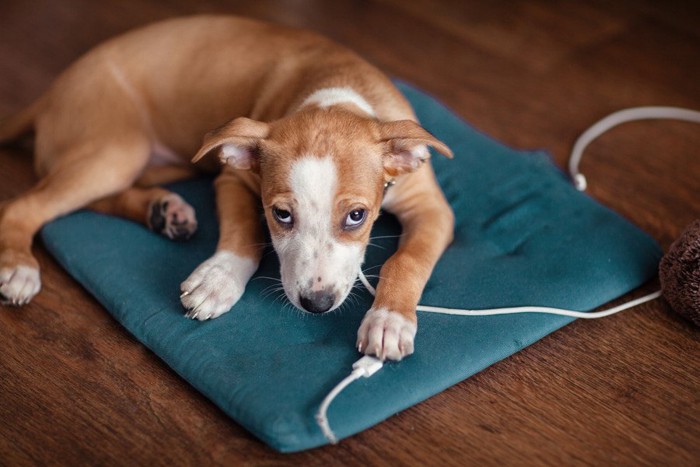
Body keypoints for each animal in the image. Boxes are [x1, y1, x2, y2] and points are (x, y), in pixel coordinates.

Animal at [0, 13, 454, 358]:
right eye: (281, 214)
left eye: (357, 216)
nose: (317, 304)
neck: (337, 90)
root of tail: (51, 91)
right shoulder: (233, 178)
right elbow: (243, 232)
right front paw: (218, 279)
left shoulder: (433, 209)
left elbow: (407, 260)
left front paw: (388, 320)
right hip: (118, 149)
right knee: (26, 205)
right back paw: (19, 266)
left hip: (159, 163)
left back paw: (163, 212)